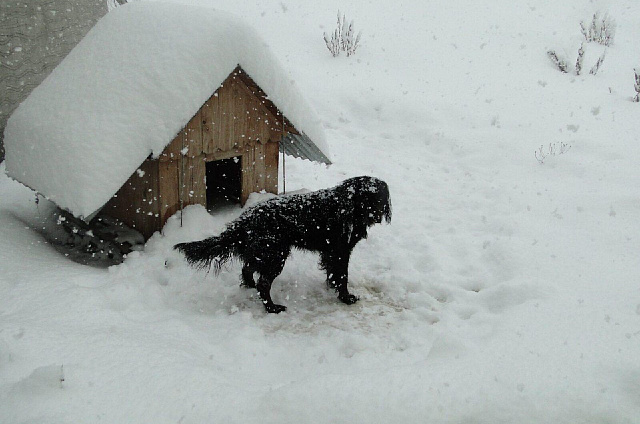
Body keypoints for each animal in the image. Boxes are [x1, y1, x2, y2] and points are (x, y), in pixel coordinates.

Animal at [174, 175, 390, 312]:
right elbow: (343, 276)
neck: (348, 209)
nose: (376, 214)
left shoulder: (331, 251)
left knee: (247, 269)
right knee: (263, 283)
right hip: (275, 255)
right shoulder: (341, 250)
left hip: (263, 253)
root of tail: (245, 220)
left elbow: (333, 274)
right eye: (365, 197)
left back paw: (250, 286)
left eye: (380, 198)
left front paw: (332, 287)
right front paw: (346, 297)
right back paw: (272, 308)